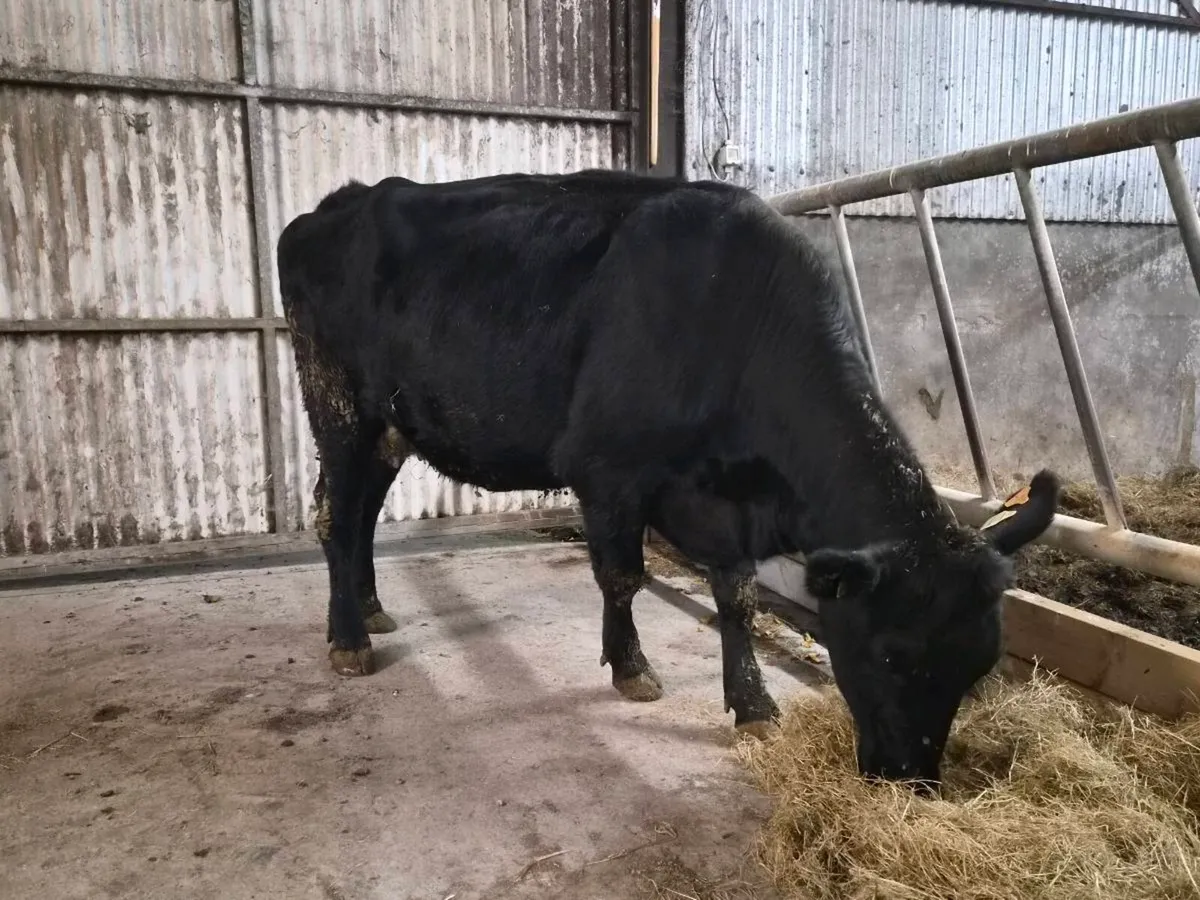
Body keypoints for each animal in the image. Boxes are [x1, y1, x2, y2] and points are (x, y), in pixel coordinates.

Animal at [276, 168, 1060, 787]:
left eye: (979, 667)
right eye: (892, 655)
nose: (911, 781)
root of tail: (336, 204)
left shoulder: (727, 502)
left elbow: (738, 599)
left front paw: (754, 707)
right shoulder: (607, 470)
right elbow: (622, 577)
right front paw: (631, 669)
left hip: (392, 425)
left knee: (361, 512)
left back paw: (369, 608)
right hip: (337, 402)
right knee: (336, 513)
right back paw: (349, 640)